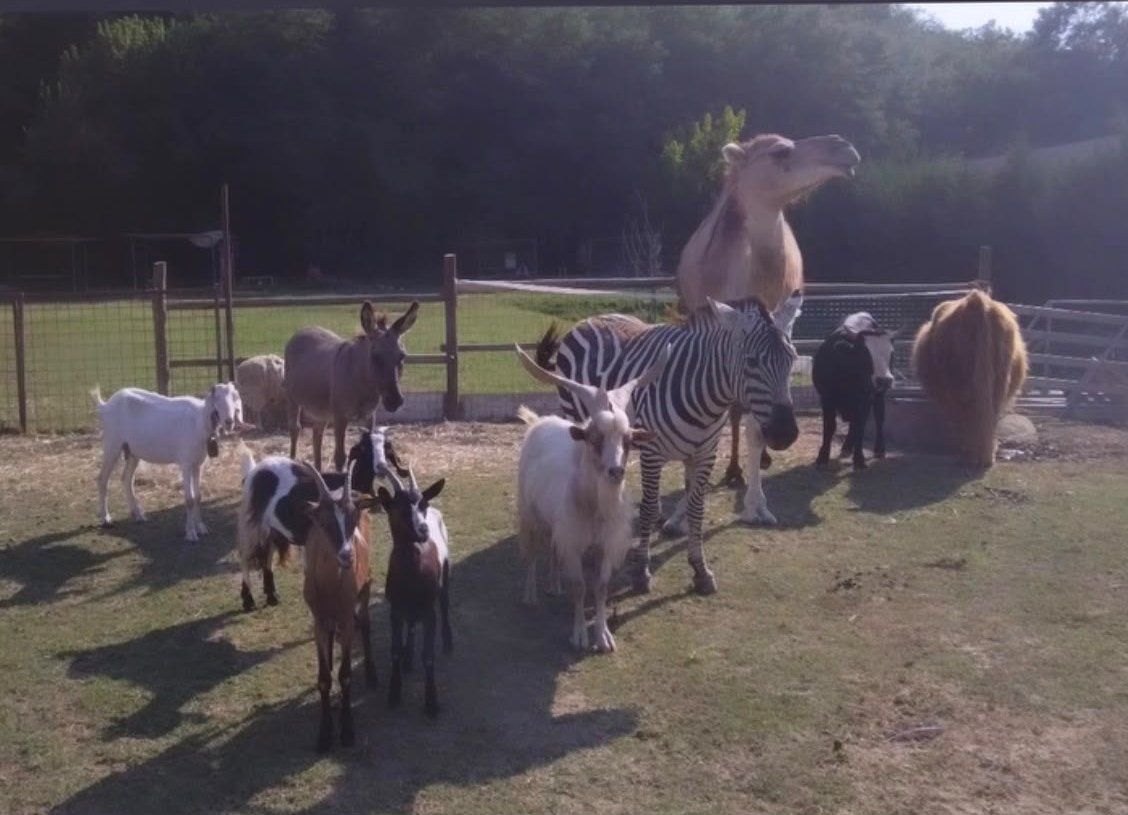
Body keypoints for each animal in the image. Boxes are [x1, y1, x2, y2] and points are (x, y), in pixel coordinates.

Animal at [533, 292, 803, 595]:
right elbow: (649, 508)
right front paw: (641, 572)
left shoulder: (705, 454)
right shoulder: (653, 453)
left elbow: (697, 509)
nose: (786, 433)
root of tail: (590, 319)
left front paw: (700, 570)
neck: (704, 397)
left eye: (792, 358)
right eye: (752, 361)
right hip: (576, 413)